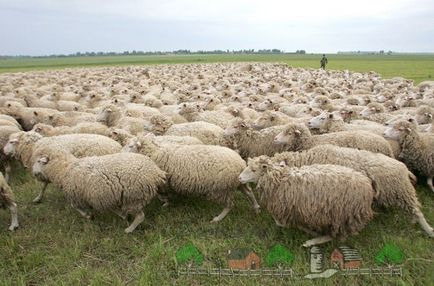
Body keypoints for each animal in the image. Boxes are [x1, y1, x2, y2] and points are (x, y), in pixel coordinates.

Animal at [31, 146, 165, 233]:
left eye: (38, 161)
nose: (33, 173)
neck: (65, 169)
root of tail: (156, 171)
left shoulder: (76, 196)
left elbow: (76, 208)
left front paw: (89, 216)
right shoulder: (110, 197)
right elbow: (116, 210)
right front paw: (122, 215)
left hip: (134, 198)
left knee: (140, 216)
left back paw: (129, 230)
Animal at [239, 156, 374, 246]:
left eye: (253, 170)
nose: (239, 178)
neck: (280, 180)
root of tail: (367, 188)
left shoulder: (286, 208)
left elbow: (281, 223)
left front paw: (307, 230)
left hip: (342, 214)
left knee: (337, 235)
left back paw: (313, 241)